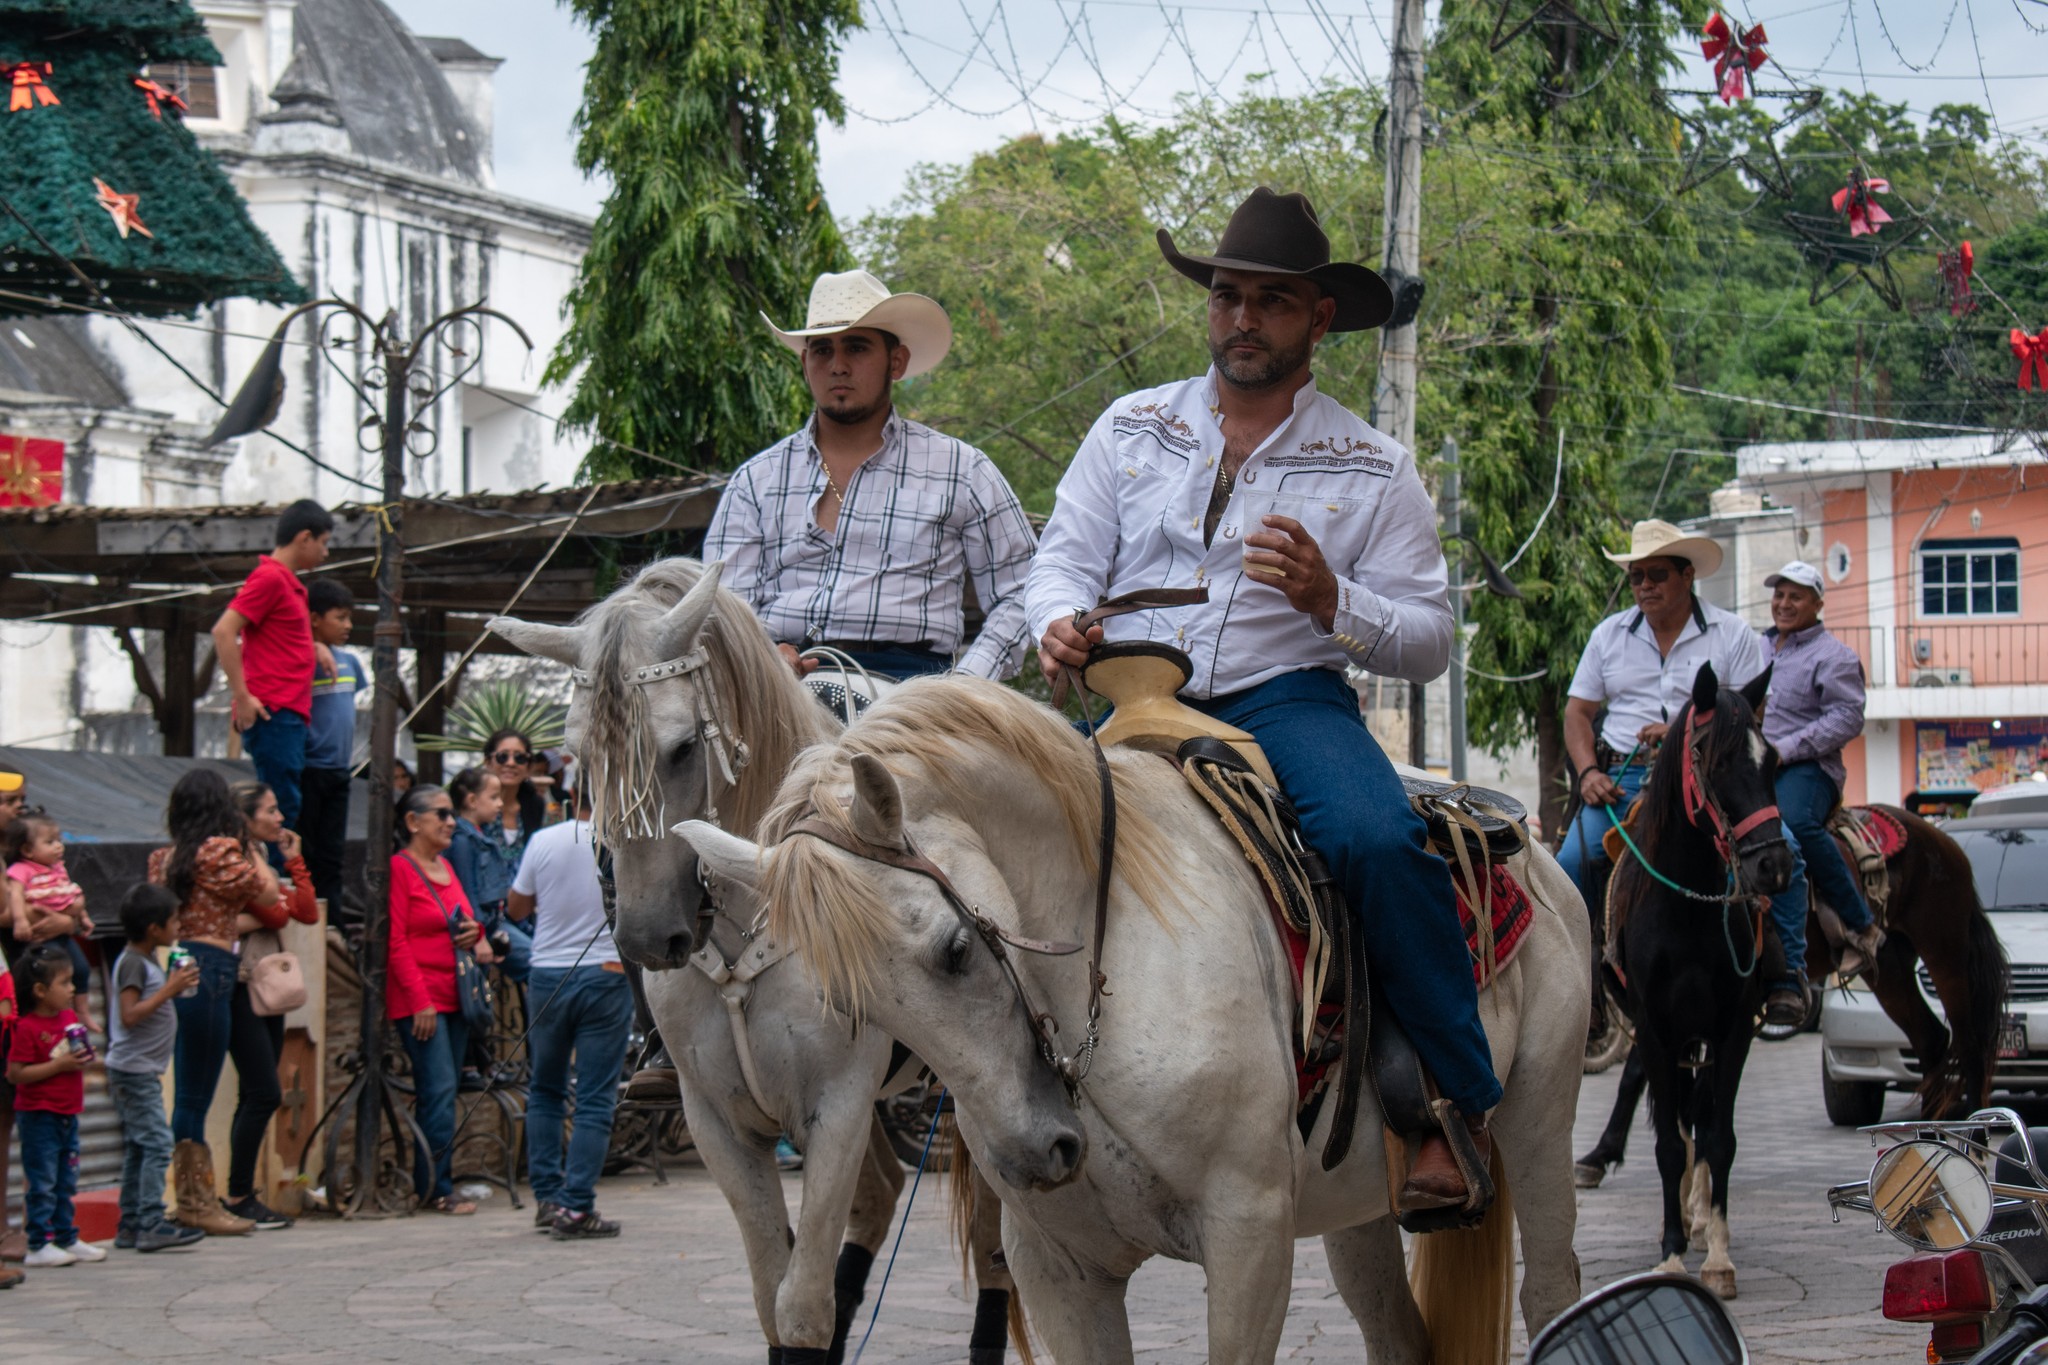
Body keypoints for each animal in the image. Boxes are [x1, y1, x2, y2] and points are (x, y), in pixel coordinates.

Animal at [489, 560, 1021, 1365]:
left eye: (682, 747)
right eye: (580, 753)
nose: (648, 937)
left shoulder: (837, 1107)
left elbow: (800, 1307)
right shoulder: (721, 1122)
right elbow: (777, 1297)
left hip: (974, 1093)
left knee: (994, 1242)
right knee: (881, 1198)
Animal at [681, 673, 1592, 1364]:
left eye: (956, 949)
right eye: (859, 1007)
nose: (1036, 1154)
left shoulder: (1250, 1237)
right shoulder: (1061, 1270)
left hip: (1538, 1125)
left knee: (1553, 1288)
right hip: (1357, 1205)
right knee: (1398, 1333)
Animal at [1603, 662, 1797, 1300]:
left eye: (1773, 761)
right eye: (1716, 763)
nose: (1774, 866)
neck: (1684, 907)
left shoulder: (1731, 1029)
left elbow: (1720, 1137)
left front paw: (1717, 1256)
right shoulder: (1654, 1029)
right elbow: (1668, 1144)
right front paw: (1670, 1256)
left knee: (1702, 1117)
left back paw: (1699, 1213)